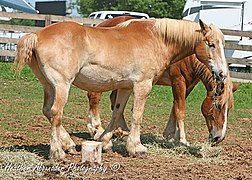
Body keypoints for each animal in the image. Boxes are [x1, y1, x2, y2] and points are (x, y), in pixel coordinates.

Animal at [14, 17, 229, 160]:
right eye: (211, 44)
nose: (222, 74)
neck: (156, 38)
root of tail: (36, 34)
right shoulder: (143, 85)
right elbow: (137, 115)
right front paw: (136, 147)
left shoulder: (125, 87)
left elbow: (117, 113)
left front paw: (104, 141)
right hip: (61, 86)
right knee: (56, 113)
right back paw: (58, 152)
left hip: (49, 86)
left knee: (48, 111)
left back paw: (69, 144)